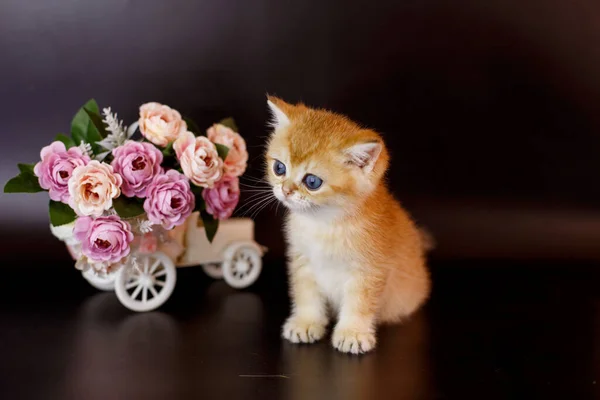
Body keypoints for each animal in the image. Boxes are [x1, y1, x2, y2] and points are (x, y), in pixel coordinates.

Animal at [266, 96, 432, 354]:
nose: (285, 190)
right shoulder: (302, 260)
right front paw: (306, 322)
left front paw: (353, 333)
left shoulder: (368, 270)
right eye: (279, 168)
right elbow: (305, 294)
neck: (324, 224)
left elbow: (359, 304)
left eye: (312, 181)